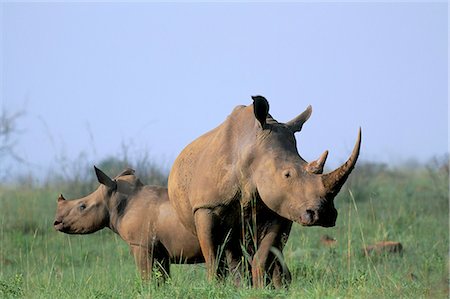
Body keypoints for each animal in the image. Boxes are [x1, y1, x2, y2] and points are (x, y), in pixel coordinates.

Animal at [52, 168, 204, 280]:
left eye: (82, 207)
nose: (56, 222)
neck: (116, 201)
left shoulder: (141, 244)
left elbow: (147, 278)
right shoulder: (160, 251)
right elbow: (162, 278)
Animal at [167, 96, 360, 288]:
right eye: (287, 174)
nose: (324, 214)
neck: (252, 150)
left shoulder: (279, 207)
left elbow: (265, 253)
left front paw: (262, 288)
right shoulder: (207, 206)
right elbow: (213, 256)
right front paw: (216, 288)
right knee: (229, 246)